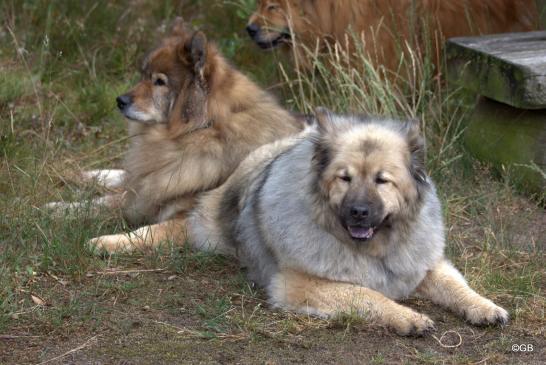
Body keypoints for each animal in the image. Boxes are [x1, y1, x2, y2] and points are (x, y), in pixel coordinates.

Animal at [46, 16, 302, 250]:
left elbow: (146, 230)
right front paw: (59, 205)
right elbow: (101, 197)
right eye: (143, 75)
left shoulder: (190, 218)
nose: (120, 101)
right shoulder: (150, 187)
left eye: (159, 81)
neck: (200, 132)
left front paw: (105, 242)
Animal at [170, 109, 506, 336]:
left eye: (382, 180)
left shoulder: (424, 266)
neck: (374, 249)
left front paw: (484, 307)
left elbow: (457, 286)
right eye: (345, 178)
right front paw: (407, 317)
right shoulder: (299, 285)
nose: (358, 211)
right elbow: (366, 294)